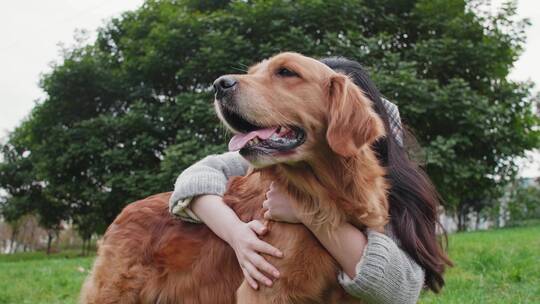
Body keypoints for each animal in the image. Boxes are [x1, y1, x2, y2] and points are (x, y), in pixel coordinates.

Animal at [81, 52, 388, 304]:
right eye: (252, 72)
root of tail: (124, 212)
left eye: (286, 72)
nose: (219, 84)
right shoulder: (266, 289)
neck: (323, 196)